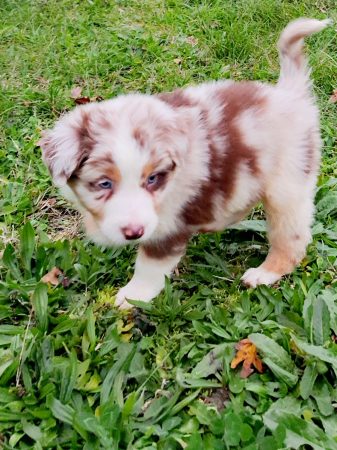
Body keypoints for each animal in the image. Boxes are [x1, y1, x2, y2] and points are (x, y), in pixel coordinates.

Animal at [38, 16, 328, 306]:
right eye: (104, 183)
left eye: (152, 179)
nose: (134, 233)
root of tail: (290, 94)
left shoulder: (169, 226)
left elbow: (149, 267)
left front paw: (131, 297)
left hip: (287, 188)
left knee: (292, 240)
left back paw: (264, 273)